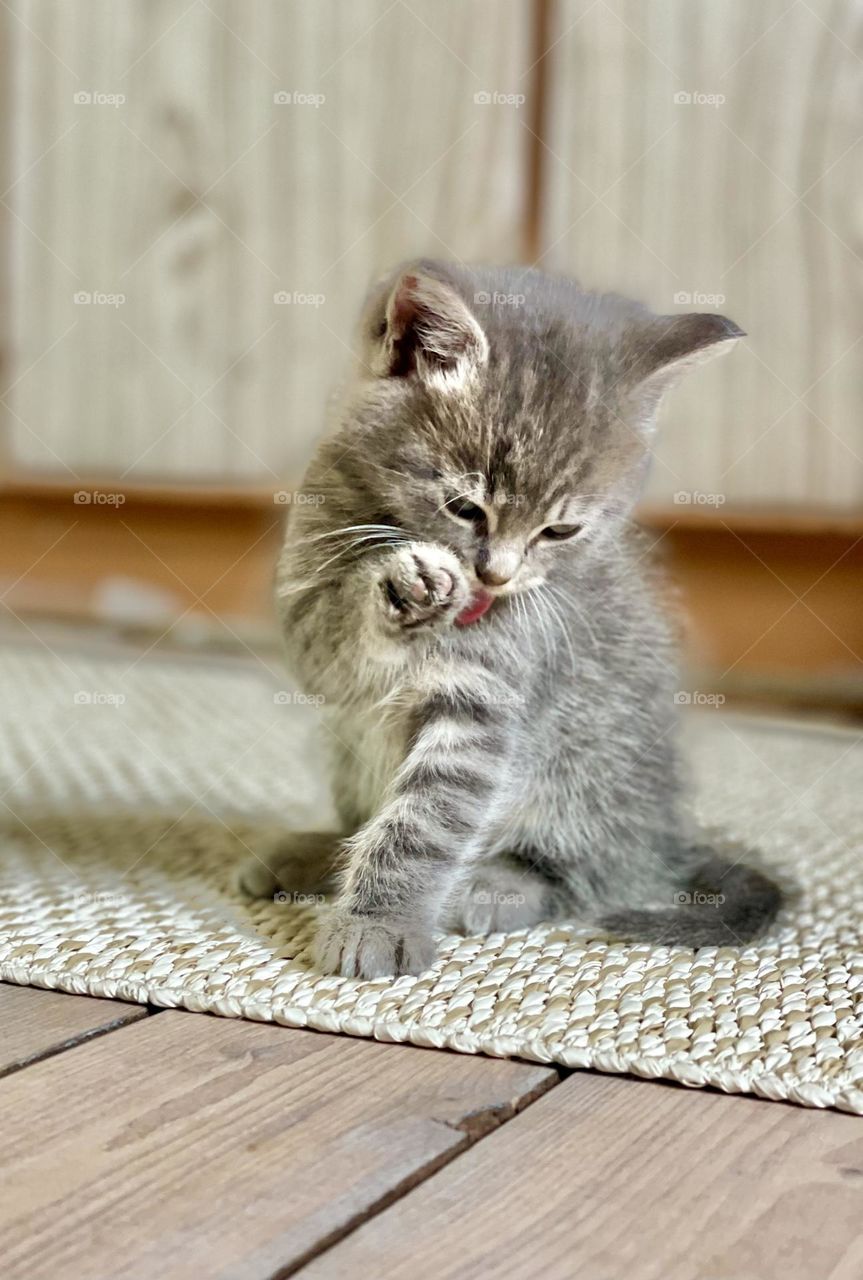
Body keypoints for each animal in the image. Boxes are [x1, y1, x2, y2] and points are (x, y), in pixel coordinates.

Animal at [236, 259, 778, 977]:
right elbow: (332, 645)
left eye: (561, 530)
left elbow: (424, 823)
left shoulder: (485, 703)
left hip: (590, 766)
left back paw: (501, 884)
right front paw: (400, 586)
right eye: (465, 508)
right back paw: (316, 853)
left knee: (590, 873)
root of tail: (668, 838)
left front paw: (379, 923)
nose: (496, 574)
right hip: (346, 745)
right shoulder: (309, 609)